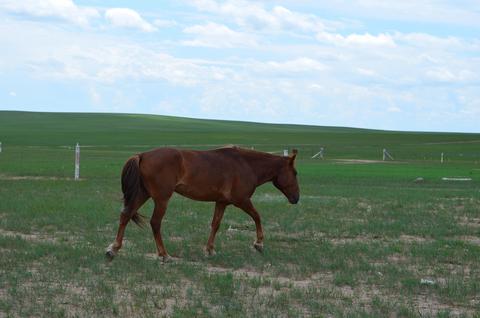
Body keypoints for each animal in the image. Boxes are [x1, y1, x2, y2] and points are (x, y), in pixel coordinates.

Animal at [106, 146, 298, 260]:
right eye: (295, 173)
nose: (296, 198)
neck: (246, 165)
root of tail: (142, 155)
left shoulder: (221, 202)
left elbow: (215, 224)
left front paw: (210, 249)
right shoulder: (242, 200)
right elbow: (257, 216)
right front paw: (259, 244)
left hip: (143, 194)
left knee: (125, 215)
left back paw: (113, 249)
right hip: (161, 199)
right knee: (155, 223)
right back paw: (164, 255)